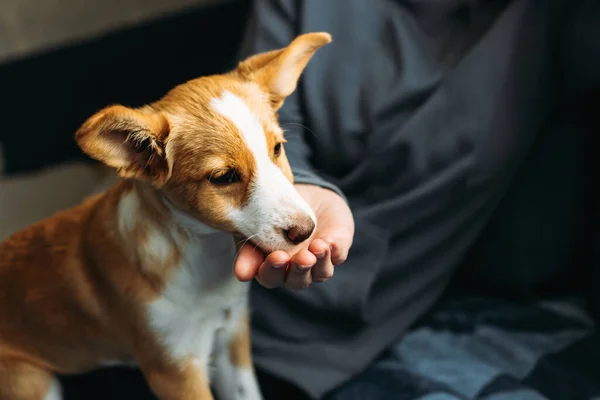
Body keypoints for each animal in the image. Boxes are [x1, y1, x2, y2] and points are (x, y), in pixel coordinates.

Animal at [0, 32, 330, 400]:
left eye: (277, 149)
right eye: (223, 177)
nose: (306, 231)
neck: (202, 253)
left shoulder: (231, 337)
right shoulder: (174, 369)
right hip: (31, 382)